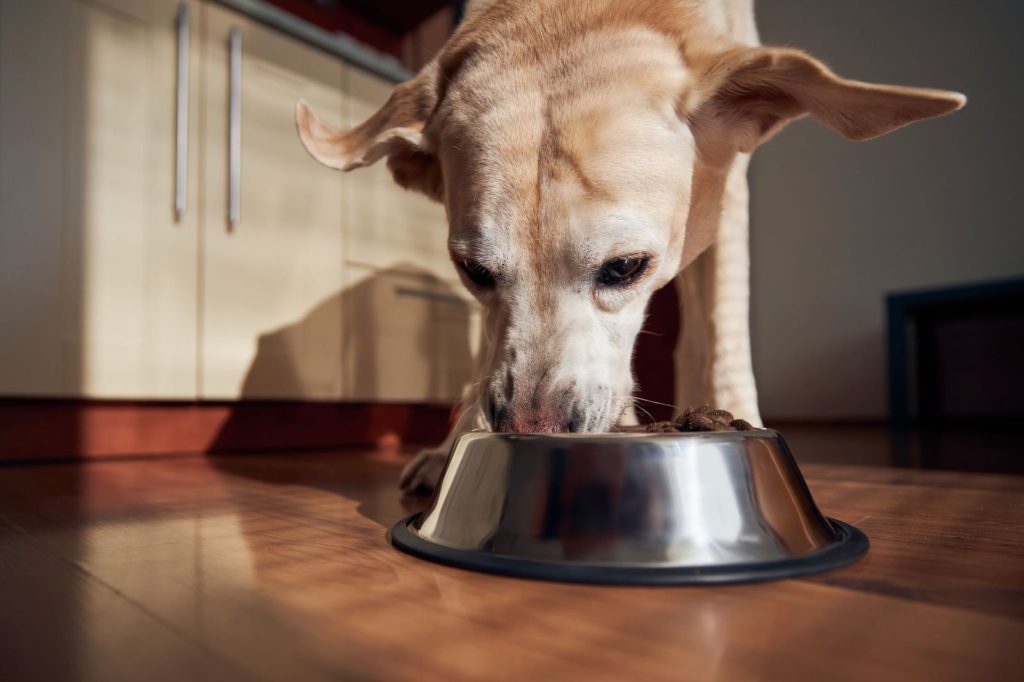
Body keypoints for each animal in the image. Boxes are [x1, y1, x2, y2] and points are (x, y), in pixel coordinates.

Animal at [292, 0, 962, 489]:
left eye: (625, 268)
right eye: (473, 272)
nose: (532, 428)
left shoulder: (729, 198)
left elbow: (723, 337)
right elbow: (487, 359)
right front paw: (454, 443)